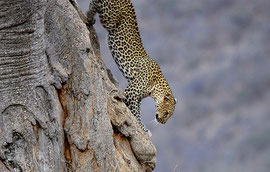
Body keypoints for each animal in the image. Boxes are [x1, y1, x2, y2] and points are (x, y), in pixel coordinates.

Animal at [86, 0, 177, 134]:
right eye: (166, 113)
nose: (163, 122)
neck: (155, 87)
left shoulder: (137, 97)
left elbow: (137, 111)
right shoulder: (131, 93)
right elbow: (136, 113)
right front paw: (143, 128)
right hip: (109, 18)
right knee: (96, 6)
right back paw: (88, 16)